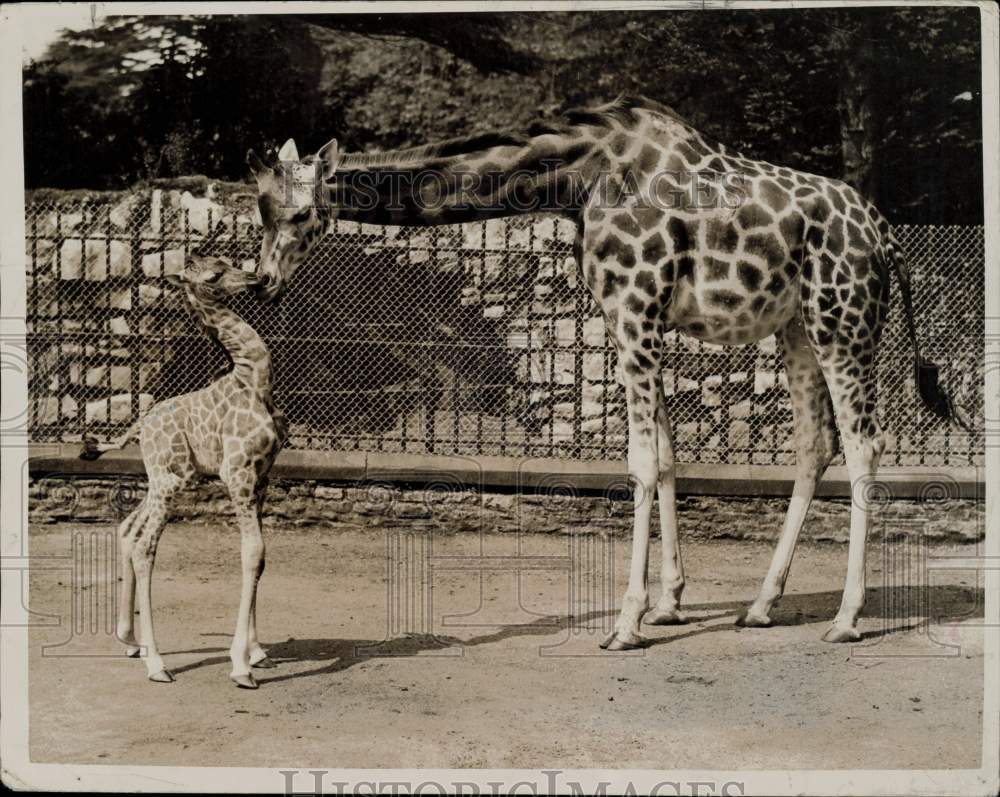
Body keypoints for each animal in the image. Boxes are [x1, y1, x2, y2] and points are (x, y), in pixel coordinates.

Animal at [82, 256, 288, 692]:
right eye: (214, 274)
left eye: (228, 261)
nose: (256, 277)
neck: (255, 379)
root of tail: (139, 427)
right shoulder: (237, 473)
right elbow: (252, 553)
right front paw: (240, 666)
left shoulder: (262, 477)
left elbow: (259, 557)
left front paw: (257, 652)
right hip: (169, 482)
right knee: (145, 546)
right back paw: (156, 663)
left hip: (167, 479)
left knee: (128, 528)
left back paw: (131, 640)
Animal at [246, 96, 964, 648]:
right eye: (261, 212)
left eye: (302, 214)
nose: (264, 283)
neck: (579, 179)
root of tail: (886, 236)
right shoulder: (634, 318)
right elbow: (668, 457)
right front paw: (669, 601)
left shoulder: (634, 310)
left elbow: (640, 463)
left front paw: (626, 622)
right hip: (796, 327)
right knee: (815, 444)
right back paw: (761, 605)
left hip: (844, 321)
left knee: (866, 444)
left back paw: (846, 618)